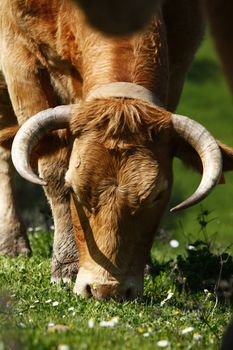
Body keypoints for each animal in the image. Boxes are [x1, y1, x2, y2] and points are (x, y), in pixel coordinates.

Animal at [0, 0, 233, 300]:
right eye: (74, 189)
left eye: (158, 195)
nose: (106, 289)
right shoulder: (21, 57)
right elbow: (52, 171)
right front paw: (66, 266)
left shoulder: (181, 55)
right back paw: (12, 242)